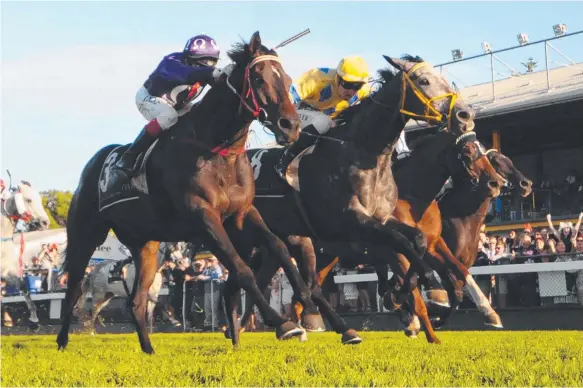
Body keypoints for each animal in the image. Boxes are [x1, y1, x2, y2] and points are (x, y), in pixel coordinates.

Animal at [56, 32, 322, 354]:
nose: (290, 126)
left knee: (136, 301)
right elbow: (242, 269)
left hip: (145, 245)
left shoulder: (243, 213)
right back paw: (61, 342)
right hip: (86, 234)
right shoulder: (203, 217)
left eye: (287, 78)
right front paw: (282, 323)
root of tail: (93, 164)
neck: (217, 152)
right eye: (259, 79)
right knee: (73, 290)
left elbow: (279, 247)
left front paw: (309, 306)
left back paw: (149, 350)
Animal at [242, 56, 480, 344]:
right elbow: (404, 248)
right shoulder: (355, 222)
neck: (364, 153)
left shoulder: (385, 221)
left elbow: (419, 243)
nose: (465, 115)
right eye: (424, 80)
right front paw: (416, 294)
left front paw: (409, 296)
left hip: (285, 242)